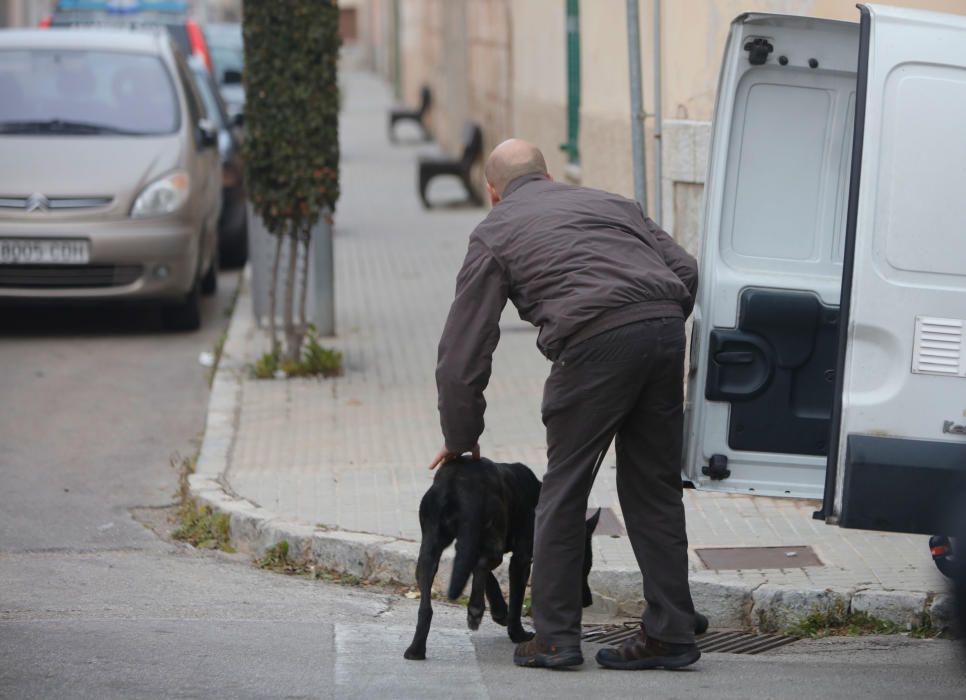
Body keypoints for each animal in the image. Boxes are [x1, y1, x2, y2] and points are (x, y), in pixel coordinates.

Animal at [404, 456, 600, 660]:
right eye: (584, 569)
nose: (588, 601)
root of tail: (456, 482)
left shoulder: (470, 545)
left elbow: (485, 576)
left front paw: (499, 610)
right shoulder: (522, 559)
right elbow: (515, 600)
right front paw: (517, 633)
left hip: (430, 549)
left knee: (427, 604)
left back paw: (416, 649)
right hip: (493, 534)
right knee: (483, 564)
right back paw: (475, 609)